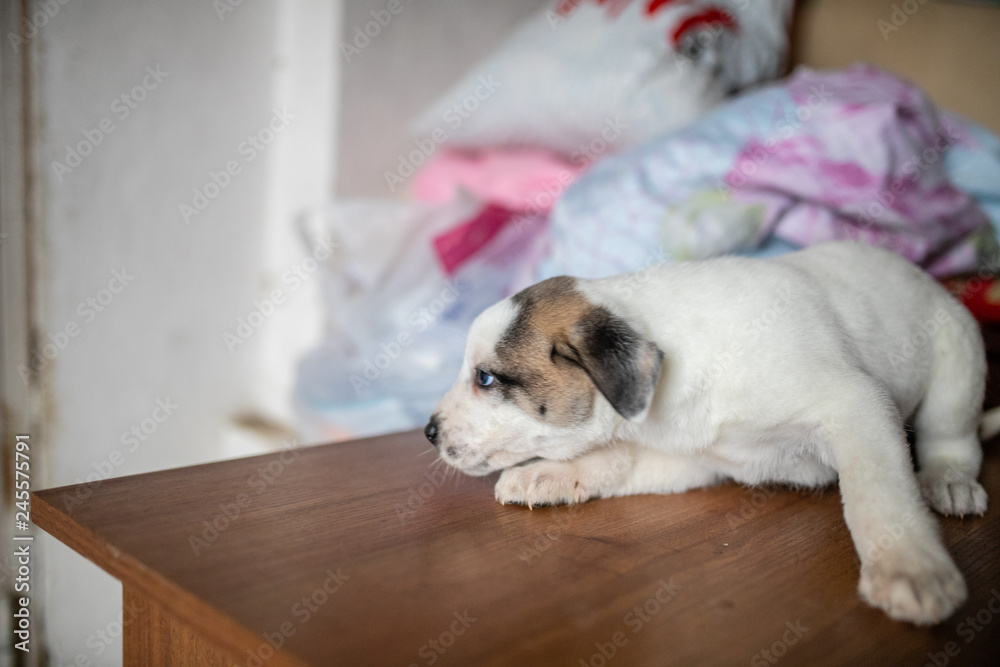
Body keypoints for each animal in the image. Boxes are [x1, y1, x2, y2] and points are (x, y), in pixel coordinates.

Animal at [428, 241, 992, 628]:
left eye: (486, 378)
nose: (430, 431)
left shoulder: (855, 406)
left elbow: (878, 494)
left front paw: (909, 567)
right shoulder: (692, 455)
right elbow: (615, 459)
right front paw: (548, 474)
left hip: (957, 357)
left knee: (952, 435)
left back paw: (948, 480)